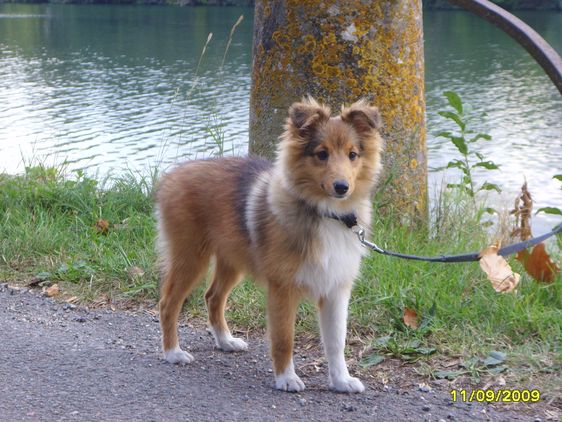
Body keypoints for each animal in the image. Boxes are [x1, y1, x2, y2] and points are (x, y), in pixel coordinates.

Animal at [155, 97, 382, 394]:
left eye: (353, 154)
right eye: (321, 154)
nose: (342, 187)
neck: (324, 213)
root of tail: (172, 175)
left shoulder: (336, 289)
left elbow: (335, 342)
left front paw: (341, 380)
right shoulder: (282, 288)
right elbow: (284, 338)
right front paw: (286, 378)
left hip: (231, 259)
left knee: (213, 296)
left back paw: (226, 341)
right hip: (190, 256)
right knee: (168, 303)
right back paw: (173, 352)